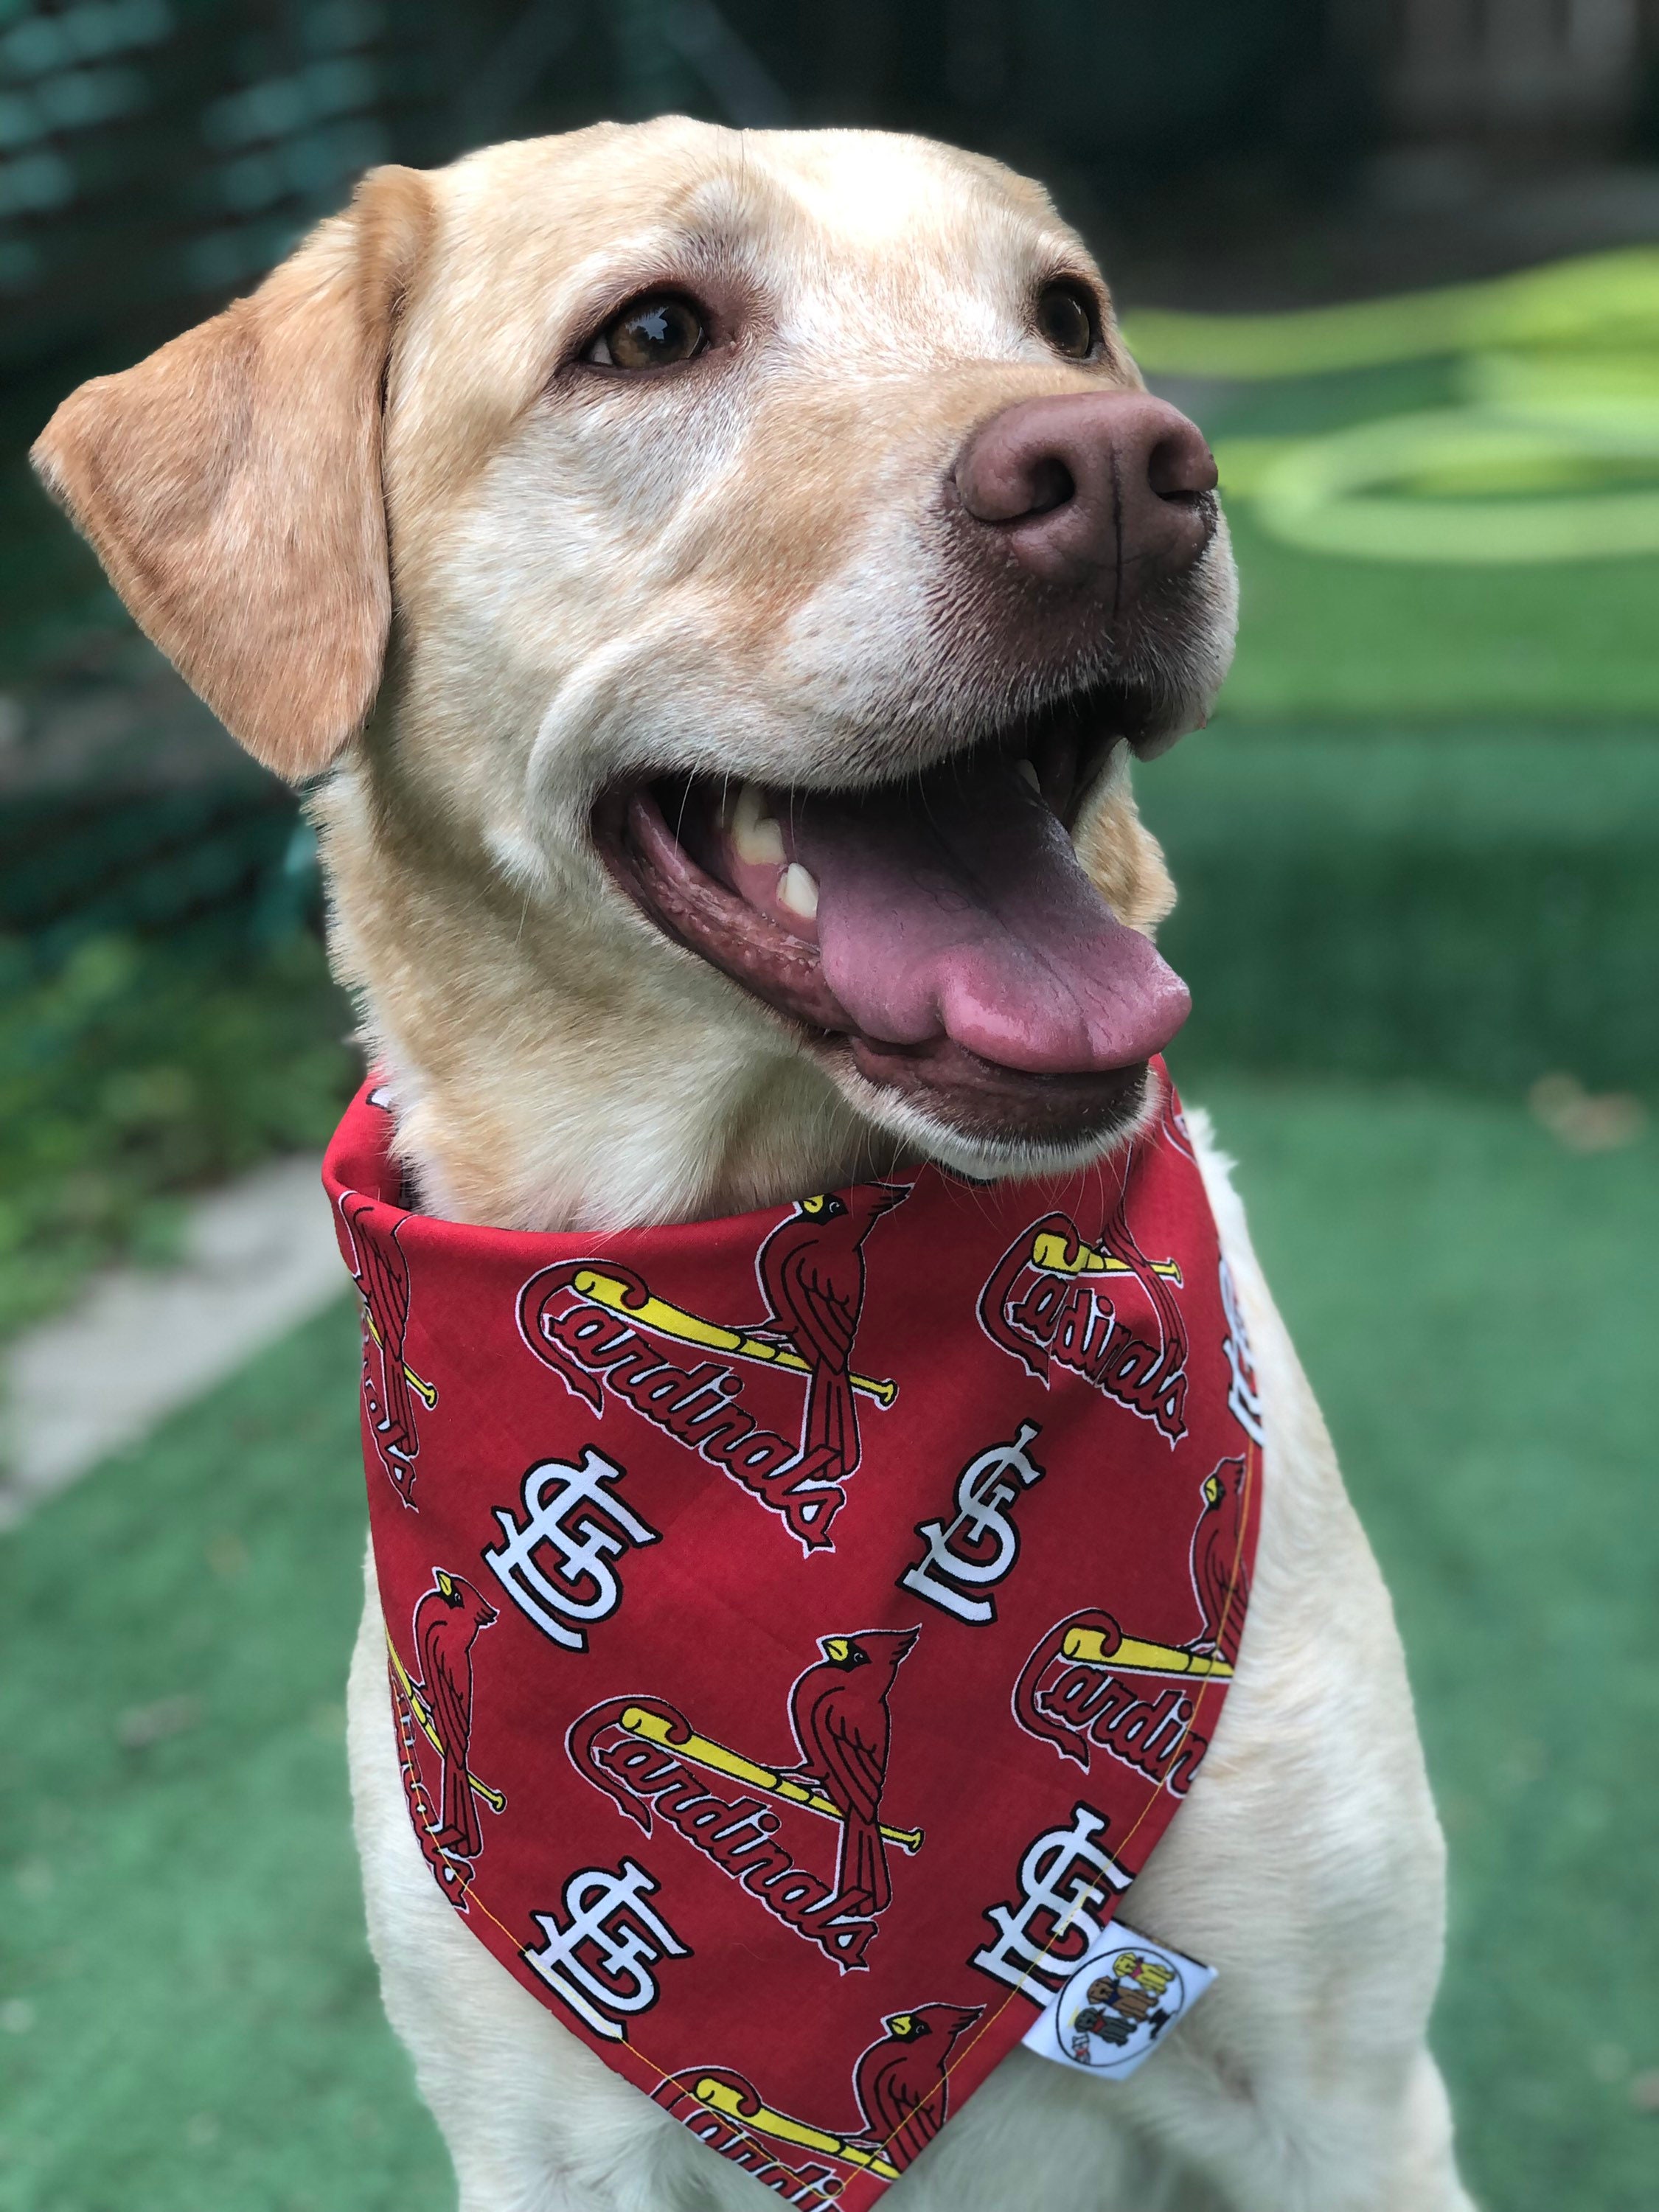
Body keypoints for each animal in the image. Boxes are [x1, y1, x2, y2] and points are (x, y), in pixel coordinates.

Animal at [32, 116, 1478, 2212]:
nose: (1132, 471)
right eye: (649, 333)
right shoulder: (542, 2145)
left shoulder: (1350, 2097)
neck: (764, 1215)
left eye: (1068, 315)